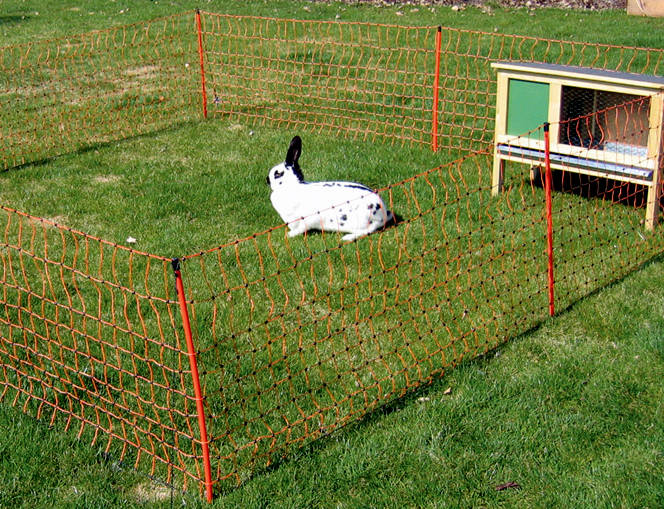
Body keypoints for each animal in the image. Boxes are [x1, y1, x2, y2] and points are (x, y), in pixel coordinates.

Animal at [266, 133, 394, 240]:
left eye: (278, 174)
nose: (267, 179)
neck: (291, 186)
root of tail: (383, 213)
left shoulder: (309, 218)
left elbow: (302, 228)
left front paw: (289, 235)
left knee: (368, 230)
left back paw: (347, 238)